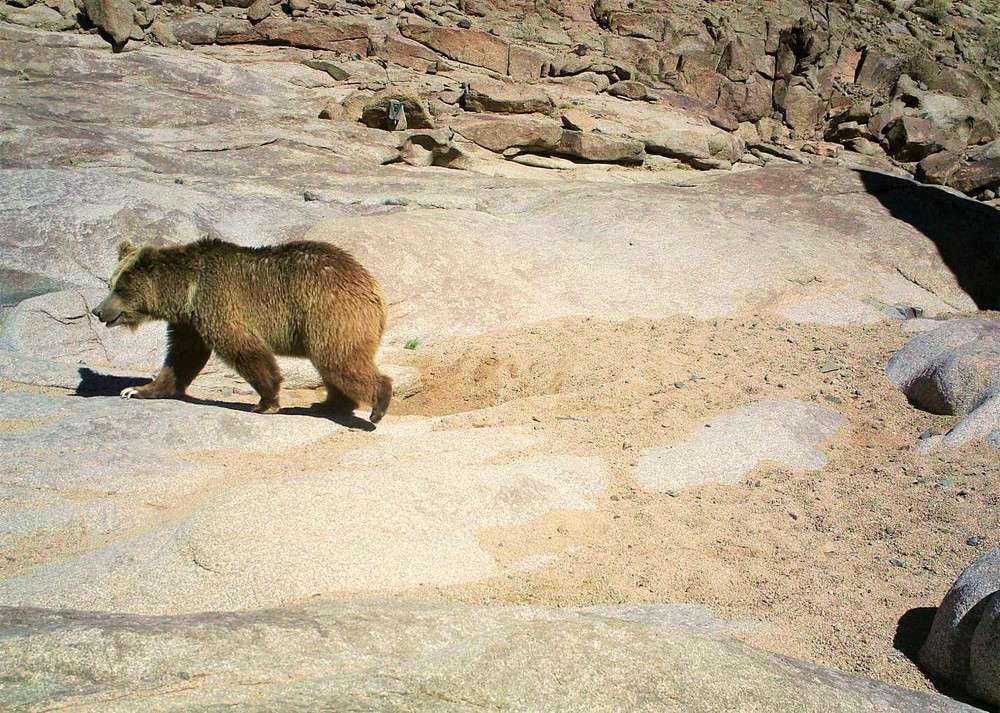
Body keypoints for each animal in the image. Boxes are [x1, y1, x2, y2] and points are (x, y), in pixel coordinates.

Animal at [91, 236, 390, 422]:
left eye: (120, 288)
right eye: (110, 283)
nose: (98, 311)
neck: (185, 291)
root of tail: (371, 283)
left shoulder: (218, 302)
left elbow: (243, 348)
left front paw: (265, 401)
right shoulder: (190, 322)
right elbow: (181, 358)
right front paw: (138, 389)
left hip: (328, 311)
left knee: (339, 359)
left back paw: (377, 404)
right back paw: (329, 404)